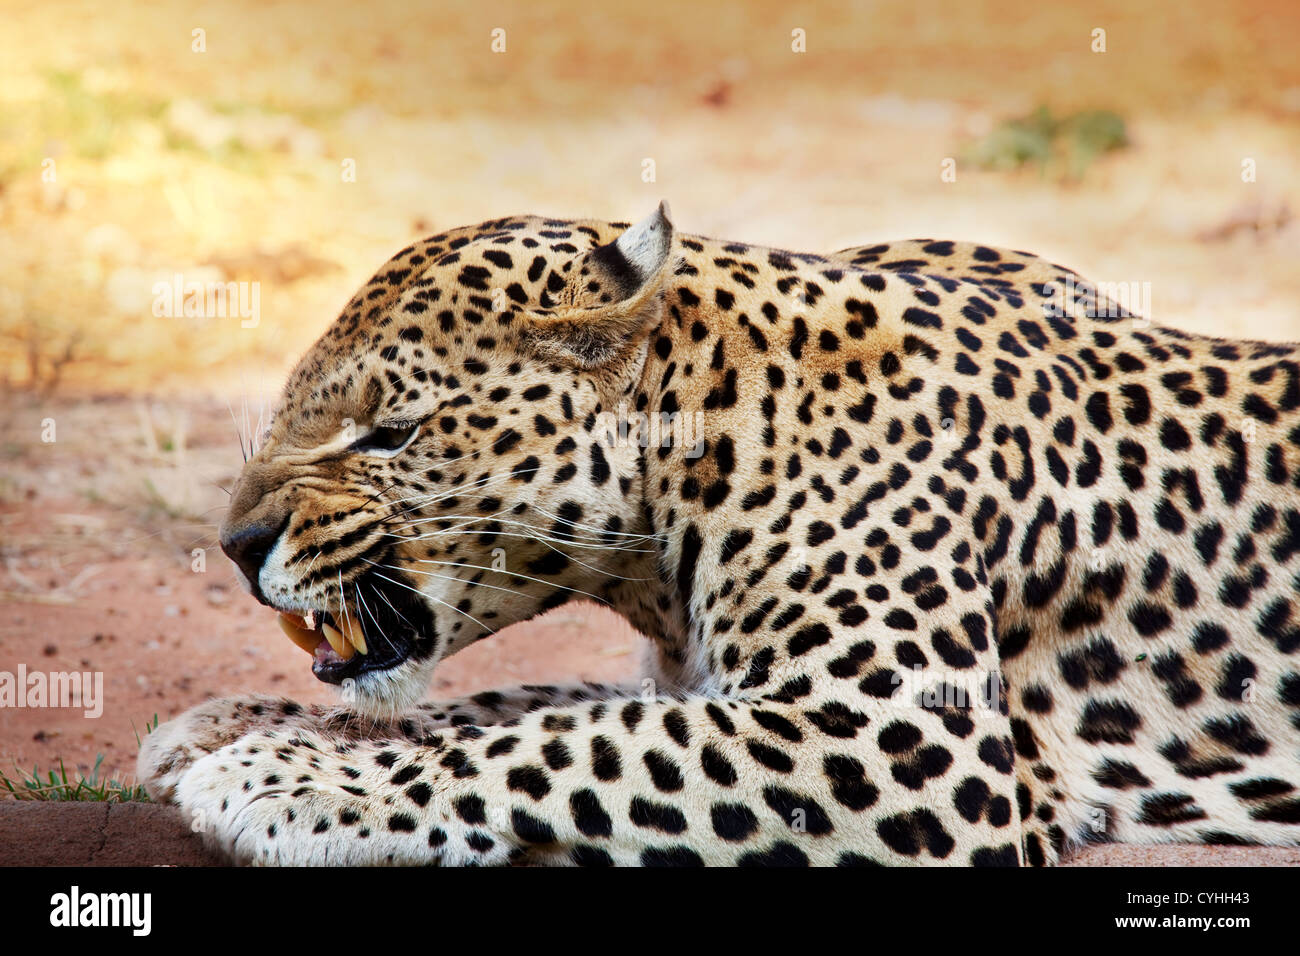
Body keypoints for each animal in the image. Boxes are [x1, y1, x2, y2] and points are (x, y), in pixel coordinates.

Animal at [139, 202, 1300, 866]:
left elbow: (568, 741)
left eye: (390, 432)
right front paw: (237, 725)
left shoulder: (905, 740)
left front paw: (284, 778)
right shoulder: (700, 678)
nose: (236, 544)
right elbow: (520, 703)